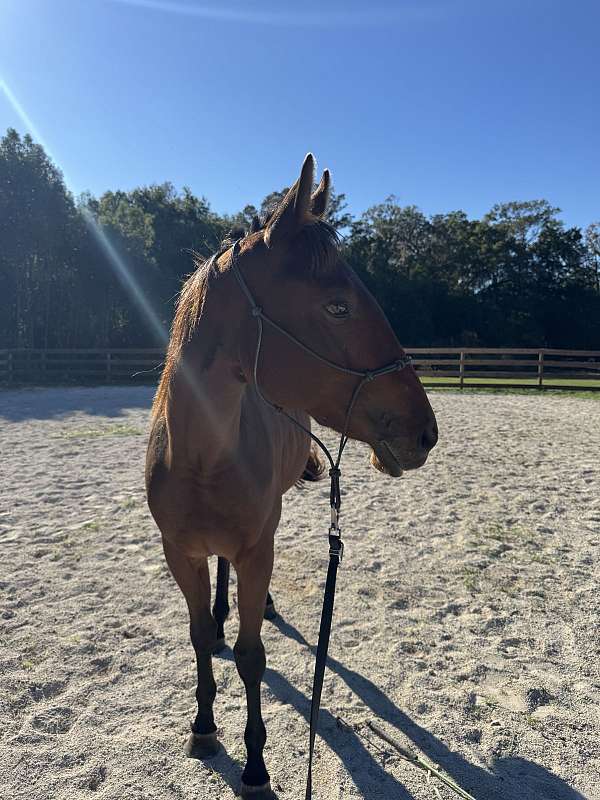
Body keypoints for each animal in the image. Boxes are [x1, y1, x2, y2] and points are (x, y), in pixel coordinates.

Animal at [145, 154, 438, 799]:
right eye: (338, 306)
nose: (424, 431)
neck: (200, 456)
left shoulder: (258, 547)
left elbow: (252, 656)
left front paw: (255, 765)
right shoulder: (180, 552)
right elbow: (198, 636)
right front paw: (204, 726)